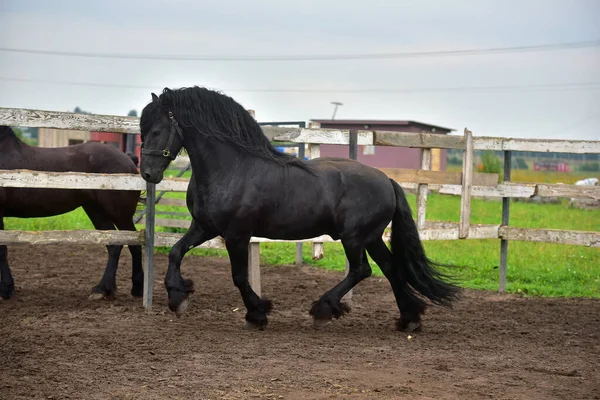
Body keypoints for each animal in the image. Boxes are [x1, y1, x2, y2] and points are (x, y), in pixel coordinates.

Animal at [0, 125, 144, 300]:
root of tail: (128, 159)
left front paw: (6, 289)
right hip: (96, 211)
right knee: (114, 246)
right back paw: (103, 289)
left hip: (120, 214)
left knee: (134, 244)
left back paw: (134, 288)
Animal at [139, 86, 460, 332]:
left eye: (156, 130)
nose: (147, 174)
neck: (231, 169)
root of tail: (387, 180)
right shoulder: (204, 227)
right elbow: (175, 251)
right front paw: (177, 297)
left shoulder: (237, 235)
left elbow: (239, 276)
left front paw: (257, 314)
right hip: (371, 237)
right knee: (390, 268)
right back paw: (409, 319)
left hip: (354, 237)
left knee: (362, 269)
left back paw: (323, 309)